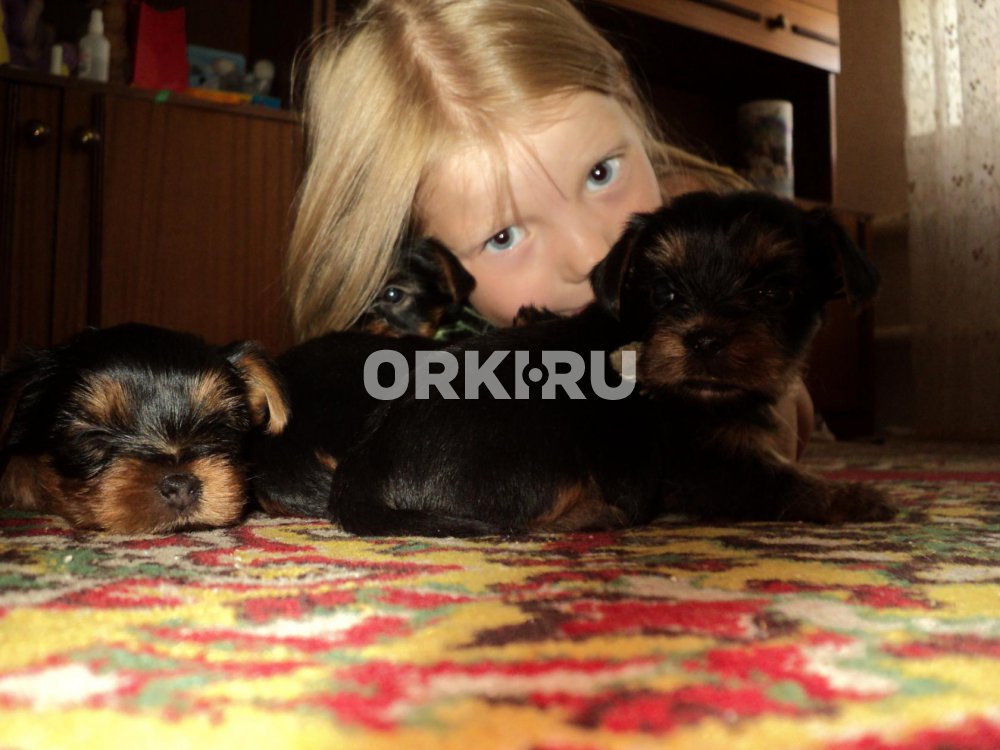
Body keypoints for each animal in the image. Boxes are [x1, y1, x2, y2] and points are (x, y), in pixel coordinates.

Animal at [326, 191, 897, 536]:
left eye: (776, 293)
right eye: (664, 293)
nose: (705, 337)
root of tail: (361, 471)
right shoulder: (707, 463)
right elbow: (780, 482)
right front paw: (857, 498)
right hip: (540, 446)